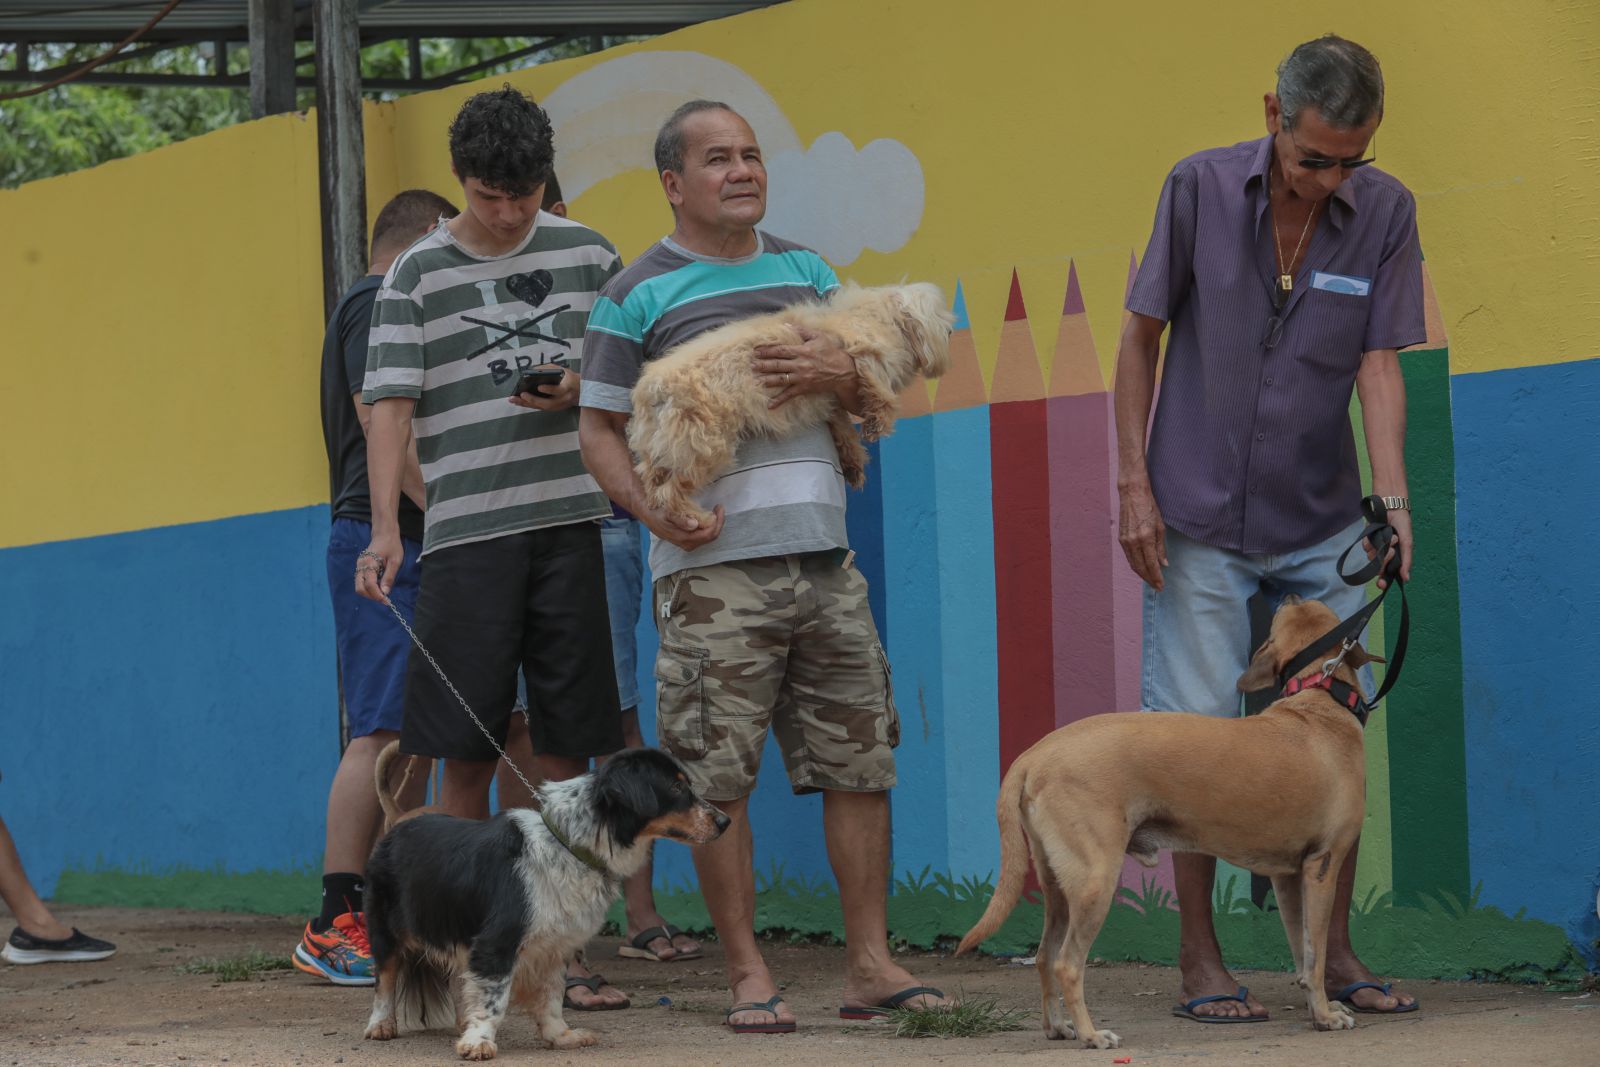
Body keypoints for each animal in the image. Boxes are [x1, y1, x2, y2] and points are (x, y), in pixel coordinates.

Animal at [361, 748, 726, 1062]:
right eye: (676, 787)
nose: (725, 822)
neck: (570, 846)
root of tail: (398, 822)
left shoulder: (556, 945)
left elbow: (551, 997)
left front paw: (560, 1036)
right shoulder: (497, 942)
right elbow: (494, 999)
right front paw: (479, 1041)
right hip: (387, 931)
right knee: (385, 979)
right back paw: (382, 1024)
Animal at [624, 281, 947, 527]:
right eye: (941, 320)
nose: (952, 333)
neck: (880, 315)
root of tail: (653, 388)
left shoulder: (833, 392)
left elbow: (843, 426)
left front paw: (854, 462)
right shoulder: (864, 354)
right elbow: (877, 390)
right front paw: (878, 423)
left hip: (662, 449)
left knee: (653, 485)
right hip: (704, 449)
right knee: (669, 494)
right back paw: (698, 519)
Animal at [953, 601, 1382, 1049]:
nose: (1291, 593)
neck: (1319, 698)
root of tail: (1035, 754)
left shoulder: (1287, 878)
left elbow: (1303, 952)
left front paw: (1319, 1008)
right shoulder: (1322, 867)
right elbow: (1316, 957)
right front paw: (1325, 1015)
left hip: (1058, 888)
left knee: (1043, 957)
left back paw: (1057, 1026)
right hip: (1094, 883)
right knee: (1067, 965)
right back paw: (1092, 1034)